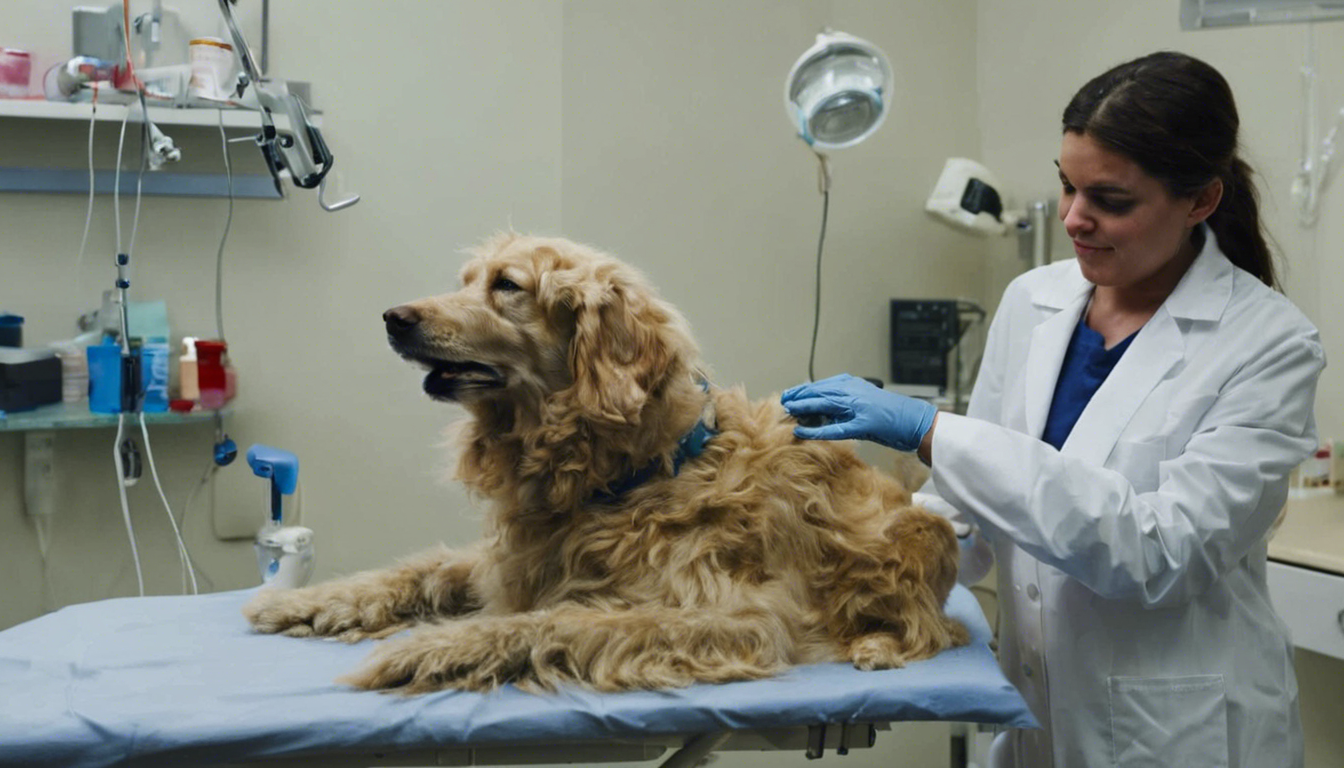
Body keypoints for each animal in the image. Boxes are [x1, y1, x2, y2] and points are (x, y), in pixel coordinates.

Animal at [244, 231, 967, 694]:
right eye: (467, 283)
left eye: (508, 286)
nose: (393, 318)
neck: (635, 470)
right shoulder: (513, 559)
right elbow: (419, 568)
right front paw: (303, 601)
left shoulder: (737, 619)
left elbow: (552, 620)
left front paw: (427, 647)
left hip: (919, 534)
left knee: (935, 628)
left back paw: (876, 645)